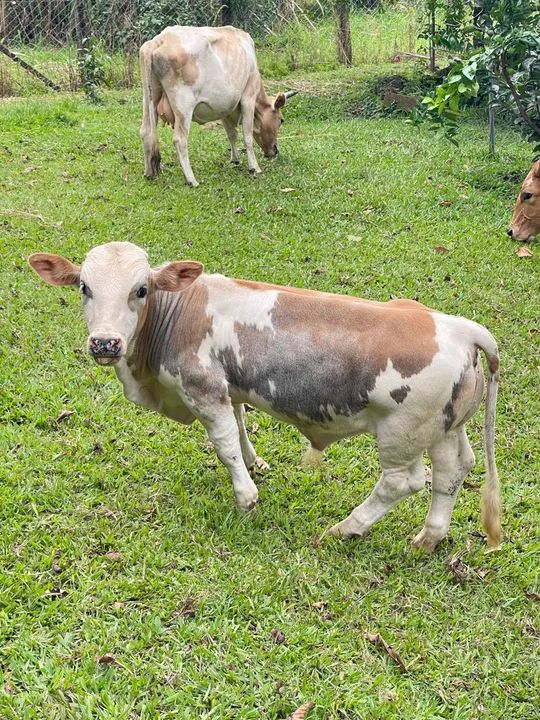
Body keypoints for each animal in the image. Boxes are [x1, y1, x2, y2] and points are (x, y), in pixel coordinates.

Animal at [28, 242, 502, 552]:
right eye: (84, 287)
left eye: (141, 290)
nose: (104, 342)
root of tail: (460, 327)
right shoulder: (230, 386)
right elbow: (239, 424)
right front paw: (255, 462)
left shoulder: (204, 388)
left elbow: (222, 444)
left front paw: (246, 495)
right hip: (445, 428)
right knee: (454, 471)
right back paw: (429, 538)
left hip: (401, 433)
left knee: (402, 482)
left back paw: (346, 528)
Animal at [139, 25, 297, 187]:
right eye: (281, 120)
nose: (275, 151)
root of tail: (158, 40)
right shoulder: (248, 97)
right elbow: (247, 135)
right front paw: (254, 167)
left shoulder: (225, 108)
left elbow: (232, 134)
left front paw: (235, 159)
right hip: (183, 105)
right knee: (179, 139)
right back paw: (191, 180)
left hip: (149, 98)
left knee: (145, 132)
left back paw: (149, 173)